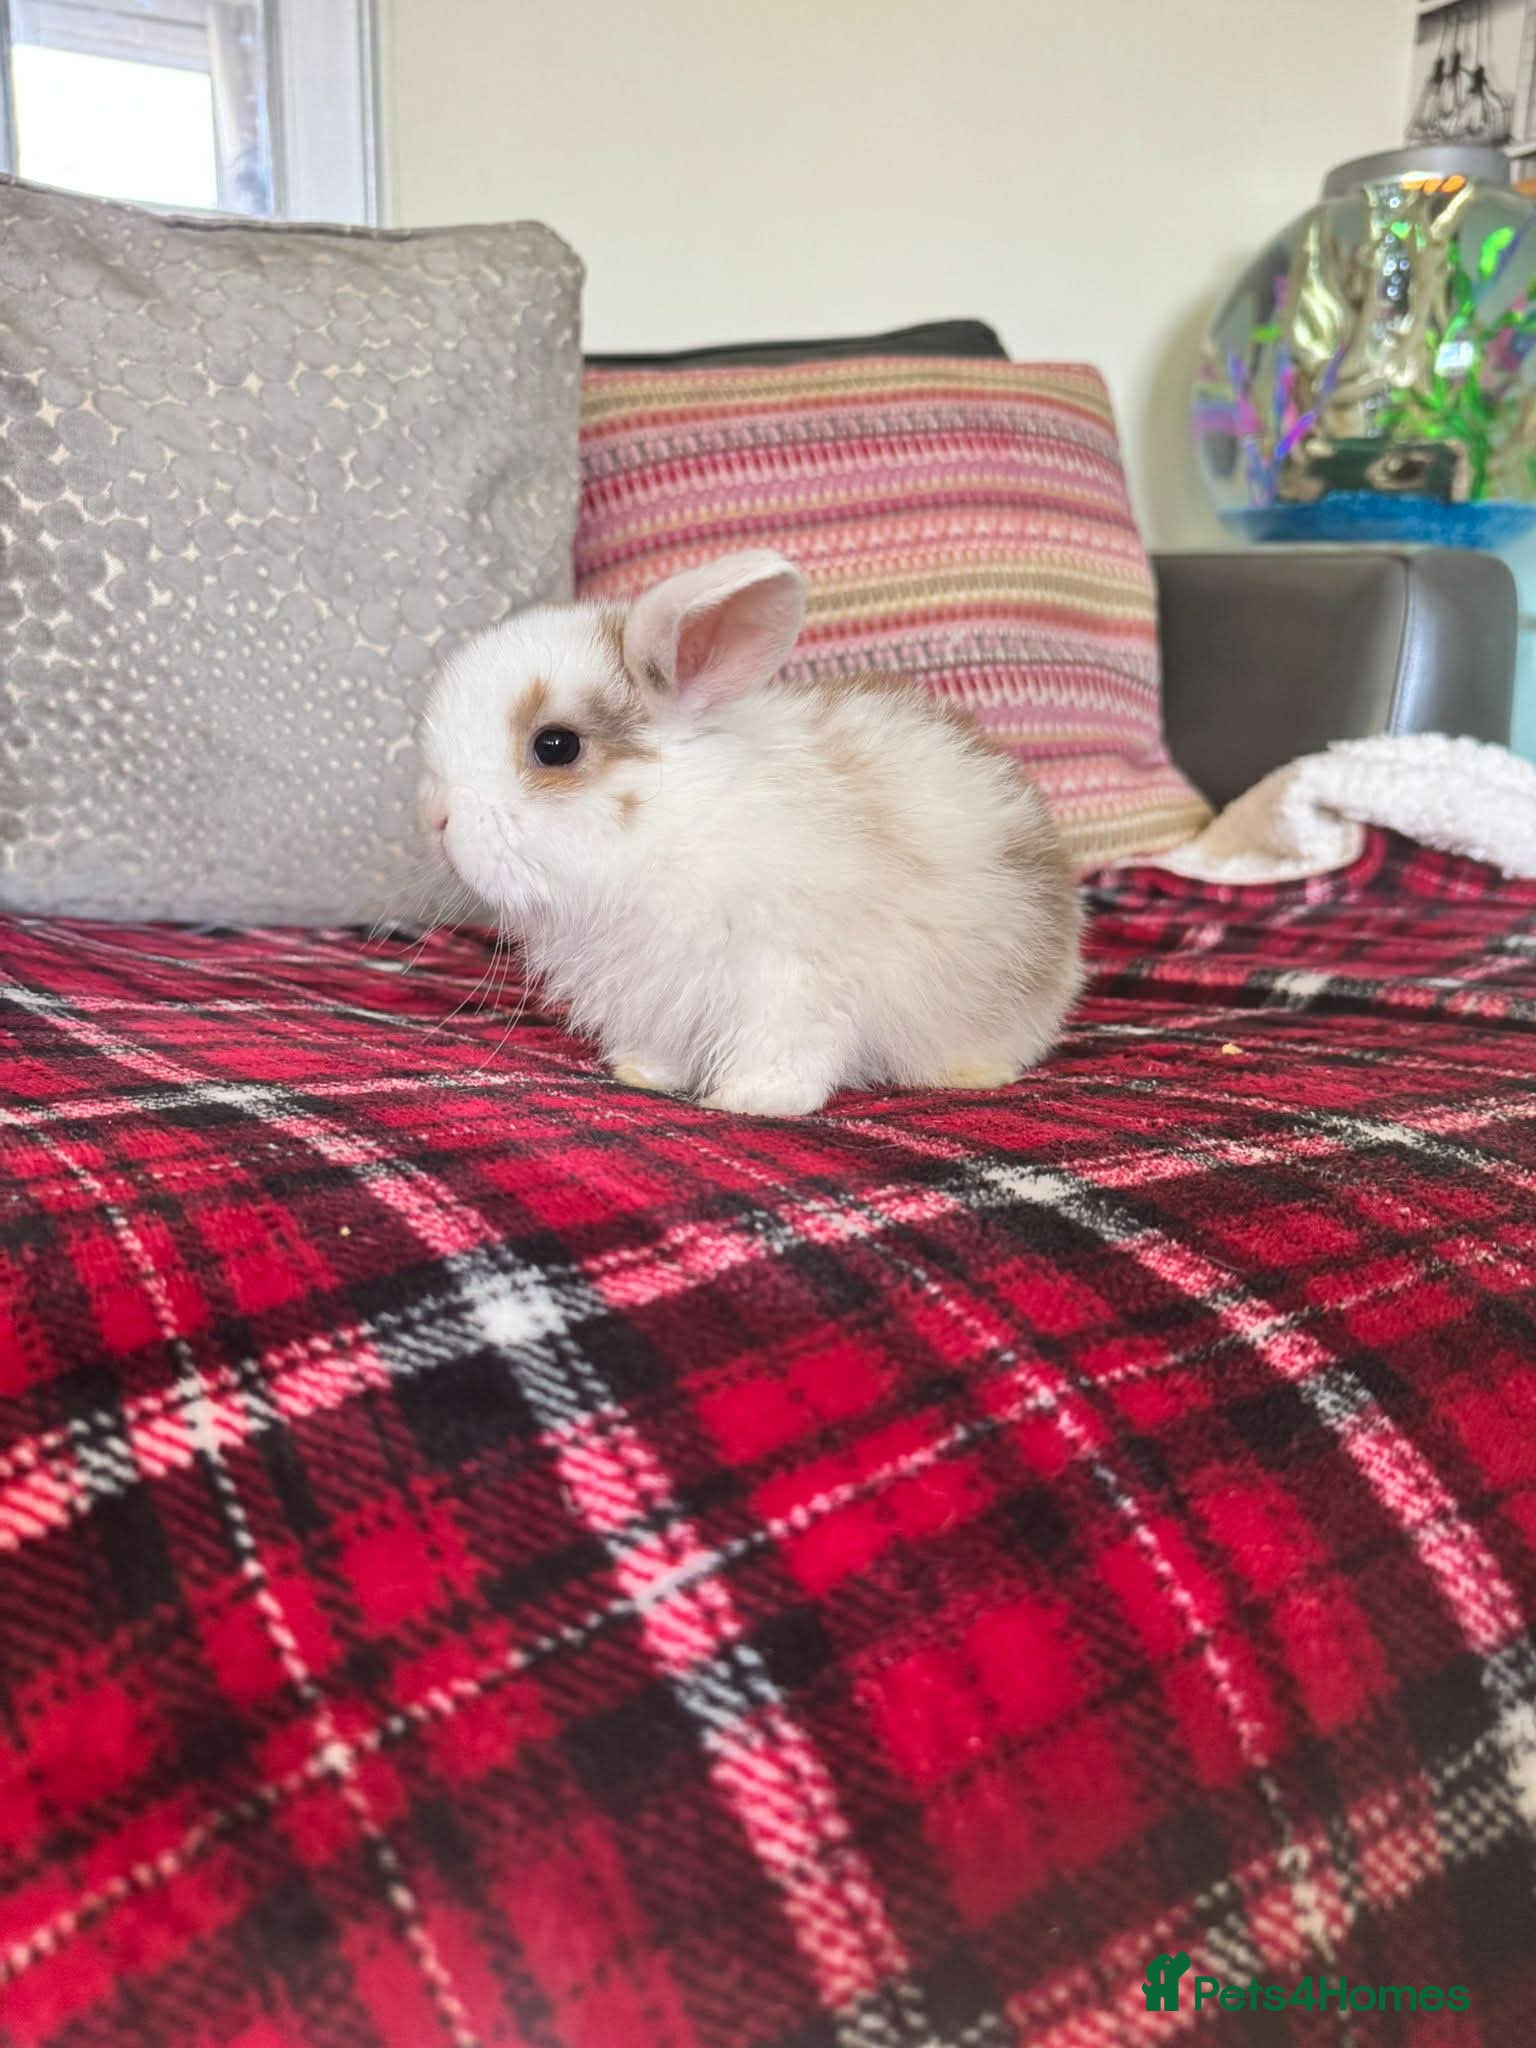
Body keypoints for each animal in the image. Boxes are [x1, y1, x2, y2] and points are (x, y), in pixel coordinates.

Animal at [417, 549, 1083, 1117]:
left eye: (555, 745)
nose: (437, 818)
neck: (674, 824)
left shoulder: (790, 978)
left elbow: (784, 1048)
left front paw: (750, 1101)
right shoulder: (657, 995)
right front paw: (641, 1073)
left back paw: (971, 1072)